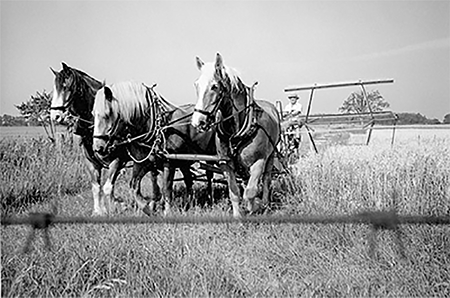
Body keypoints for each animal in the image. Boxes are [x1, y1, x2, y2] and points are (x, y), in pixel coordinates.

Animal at [49, 63, 160, 217]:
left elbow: (108, 187)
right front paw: (99, 211)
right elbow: (96, 187)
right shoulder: (91, 161)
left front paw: (113, 209)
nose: (55, 116)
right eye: (55, 88)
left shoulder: (118, 160)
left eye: (66, 87)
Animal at [92, 81, 215, 215]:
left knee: (209, 175)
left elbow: (167, 188)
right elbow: (134, 186)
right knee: (188, 178)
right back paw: (190, 203)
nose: (97, 148)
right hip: (184, 161)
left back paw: (210, 198)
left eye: (107, 114)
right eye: (93, 114)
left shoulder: (169, 162)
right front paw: (148, 207)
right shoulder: (142, 162)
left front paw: (166, 212)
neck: (156, 129)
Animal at [191, 52, 282, 218]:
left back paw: (265, 203)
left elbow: (250, 192)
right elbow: (234, 192)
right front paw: (238, 216)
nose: (197, 122)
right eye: (196, 85)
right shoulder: (226, 164)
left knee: (266, 178)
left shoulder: (259, 161)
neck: (235, 134)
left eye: (215, 86)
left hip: (271, 154)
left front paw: (255, 206)